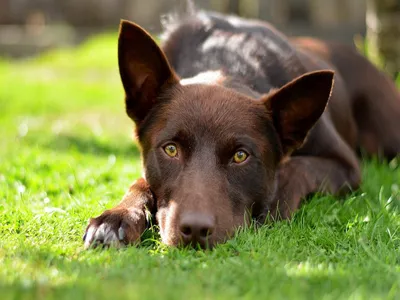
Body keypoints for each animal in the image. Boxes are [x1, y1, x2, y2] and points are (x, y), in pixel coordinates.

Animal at [83, 4, 400, 250]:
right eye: (170, 149)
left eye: (240, 156)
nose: (195, 230)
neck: (227, 62)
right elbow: (140, 182)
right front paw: (117, 217)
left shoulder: (346, 166)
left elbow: (297, 168)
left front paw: (275, 201)